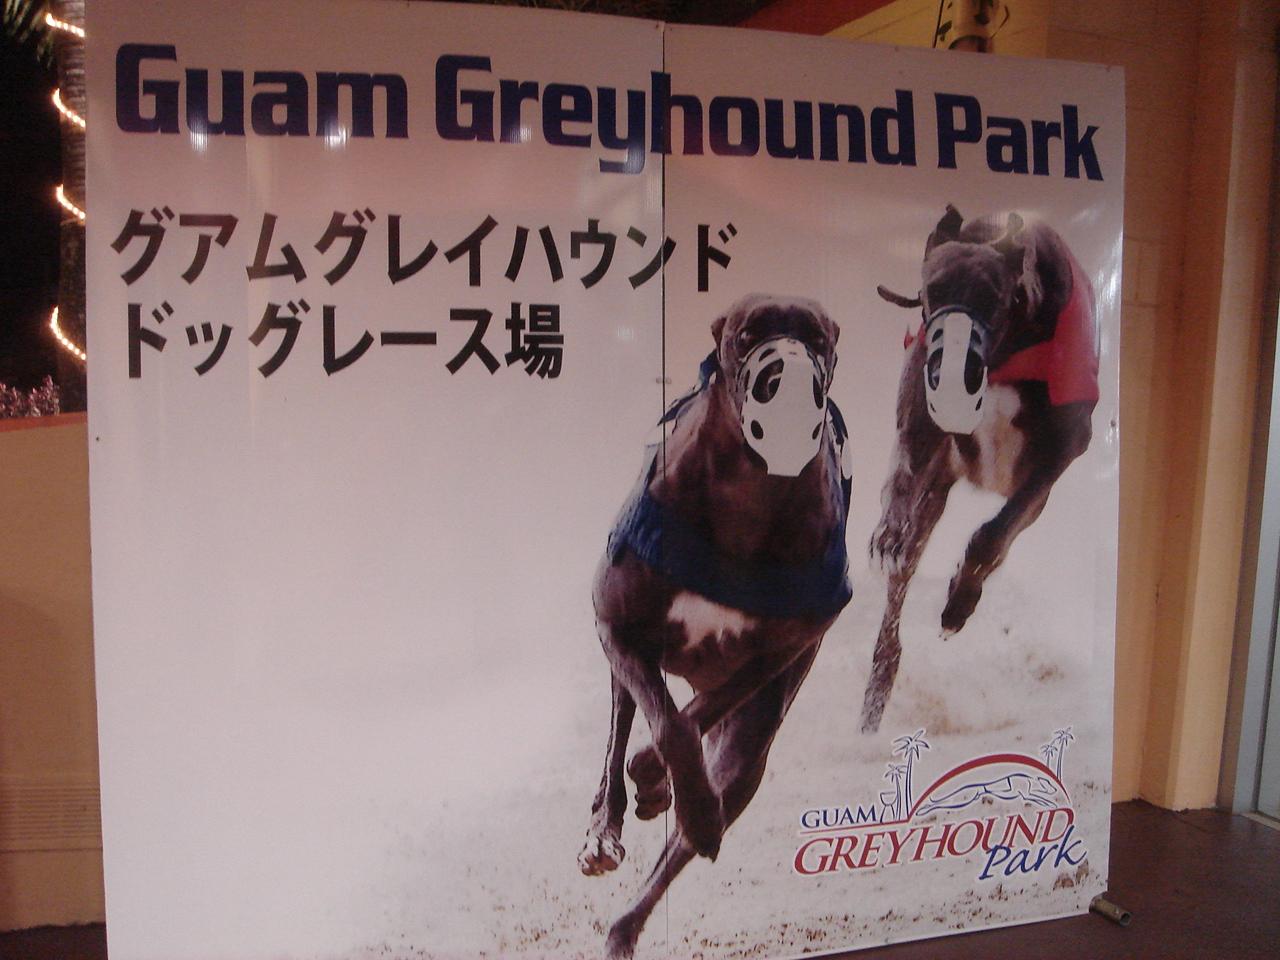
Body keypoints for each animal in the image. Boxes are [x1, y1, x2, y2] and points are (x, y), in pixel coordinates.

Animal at [578, 293, 852, 959]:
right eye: (746, 335)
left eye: (820, 340)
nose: (787, 376)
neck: (748, 496)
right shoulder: (616, 624)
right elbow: (667, 725)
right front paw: (654, 787)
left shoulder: (788, 645)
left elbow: (692, 720)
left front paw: (679, 797)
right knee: (623, 731)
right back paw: (608, 828)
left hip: (749, 754)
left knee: (685, 835)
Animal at [860, 205, 1098, 733]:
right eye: (930, 290)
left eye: (993, 297)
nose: (950, 381)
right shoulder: (920, 424)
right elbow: (901, 474)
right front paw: (888, 536)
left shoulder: (1058, 456)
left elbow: (992, 535)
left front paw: (958, 601)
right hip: (936, 491)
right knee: (896, 606)